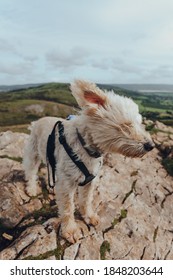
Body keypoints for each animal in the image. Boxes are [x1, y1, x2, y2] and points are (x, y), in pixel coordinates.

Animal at [23, 80, 154, 243]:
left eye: (140, 123)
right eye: (125, 125)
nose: (151, 145)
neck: (85, 145)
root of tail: (37, 121)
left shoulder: (89, 181)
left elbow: (86, 200)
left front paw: (88, 216)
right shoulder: (67, 183)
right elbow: (68, 207)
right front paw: (70, 230)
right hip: (33, 154)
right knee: (31, 171)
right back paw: (31, 188)